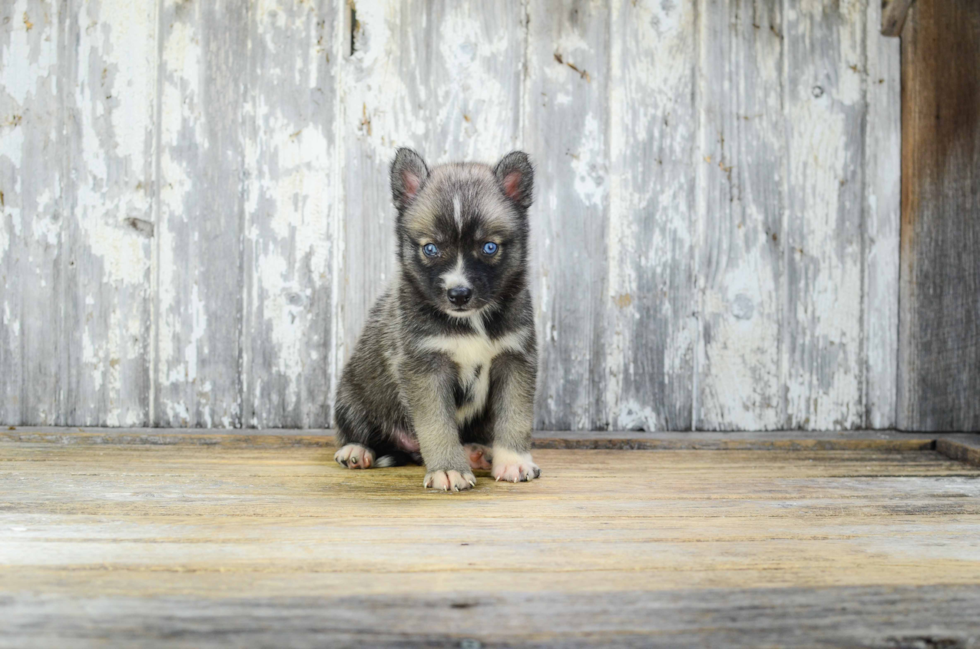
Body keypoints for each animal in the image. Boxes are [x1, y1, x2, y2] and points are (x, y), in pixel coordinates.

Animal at [334, 147, 540, 492]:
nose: (458, 294)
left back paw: (474, 453)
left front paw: (513, 460)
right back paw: (356, 450)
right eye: (430, 248)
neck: (471, 321)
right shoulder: (425, 366)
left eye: (489, 247)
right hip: (352, 395)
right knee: (360, 430)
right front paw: (448, 469)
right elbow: (437, 424)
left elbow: (515, 416)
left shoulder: (514, 358)